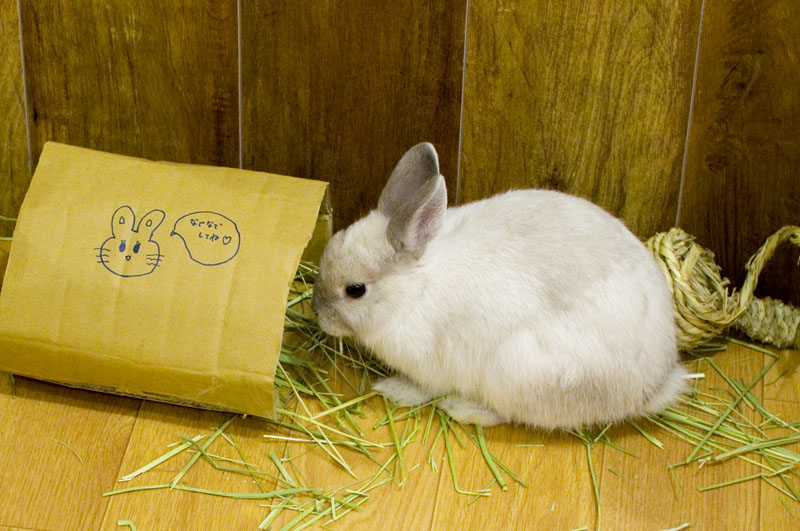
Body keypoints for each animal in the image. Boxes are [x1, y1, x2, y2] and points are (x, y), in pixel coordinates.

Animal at [312, 143, 686, 429]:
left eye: (355, 290)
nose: (318, 313)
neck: (414, 288)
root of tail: (655, 384)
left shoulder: (431, 367)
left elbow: (422, 389)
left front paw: (392, 390)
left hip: (517, 372)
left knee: (508, 414)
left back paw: (462, 409)